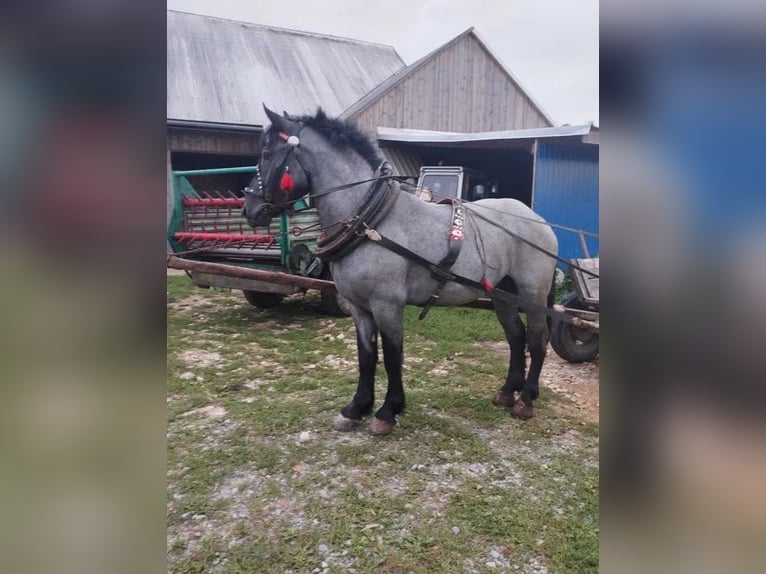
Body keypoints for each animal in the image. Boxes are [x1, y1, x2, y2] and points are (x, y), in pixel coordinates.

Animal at [246, 106, 560, 436]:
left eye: (266, 153)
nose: (249, 208)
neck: (370, 221)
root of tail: (537, 219)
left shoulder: (387, 305)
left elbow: (392, 355)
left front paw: (388, 411)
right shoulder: (359, 308)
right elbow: (366, 356)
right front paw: (356, 408)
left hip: (532, 293)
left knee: (537, 339)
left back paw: (526, 400)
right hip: (503, 294)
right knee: (516, 336)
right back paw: (507, 391)